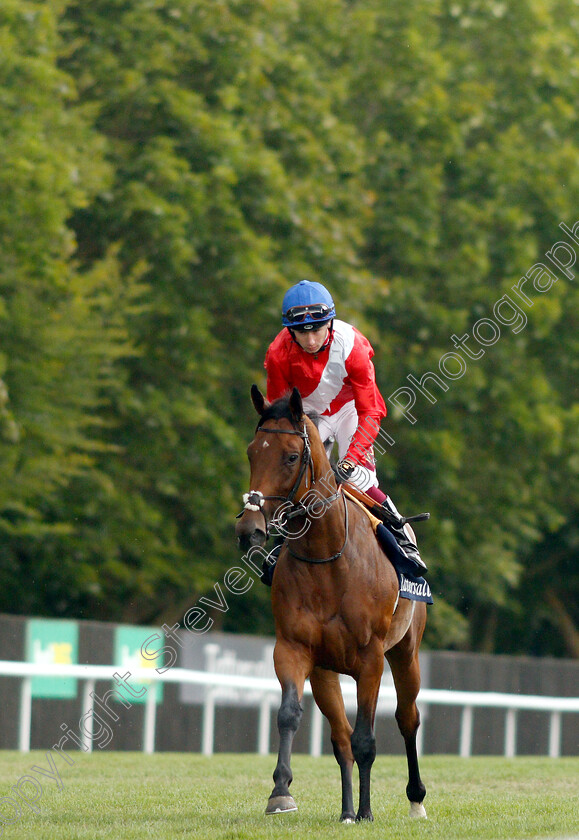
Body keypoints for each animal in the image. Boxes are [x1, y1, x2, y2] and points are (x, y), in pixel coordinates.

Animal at [233, 390, 428, 824]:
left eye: (291, 457)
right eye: (252, 452)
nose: (249, 530)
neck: (327, 559)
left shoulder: (370, 659)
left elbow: (367, 738)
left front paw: (368, 812)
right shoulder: (294, 649)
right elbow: (291, 715)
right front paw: (281, 792)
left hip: (406, 651)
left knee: (407, 718)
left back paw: (415, 800)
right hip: (326, 671)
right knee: (340, 737)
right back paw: (346, 811)